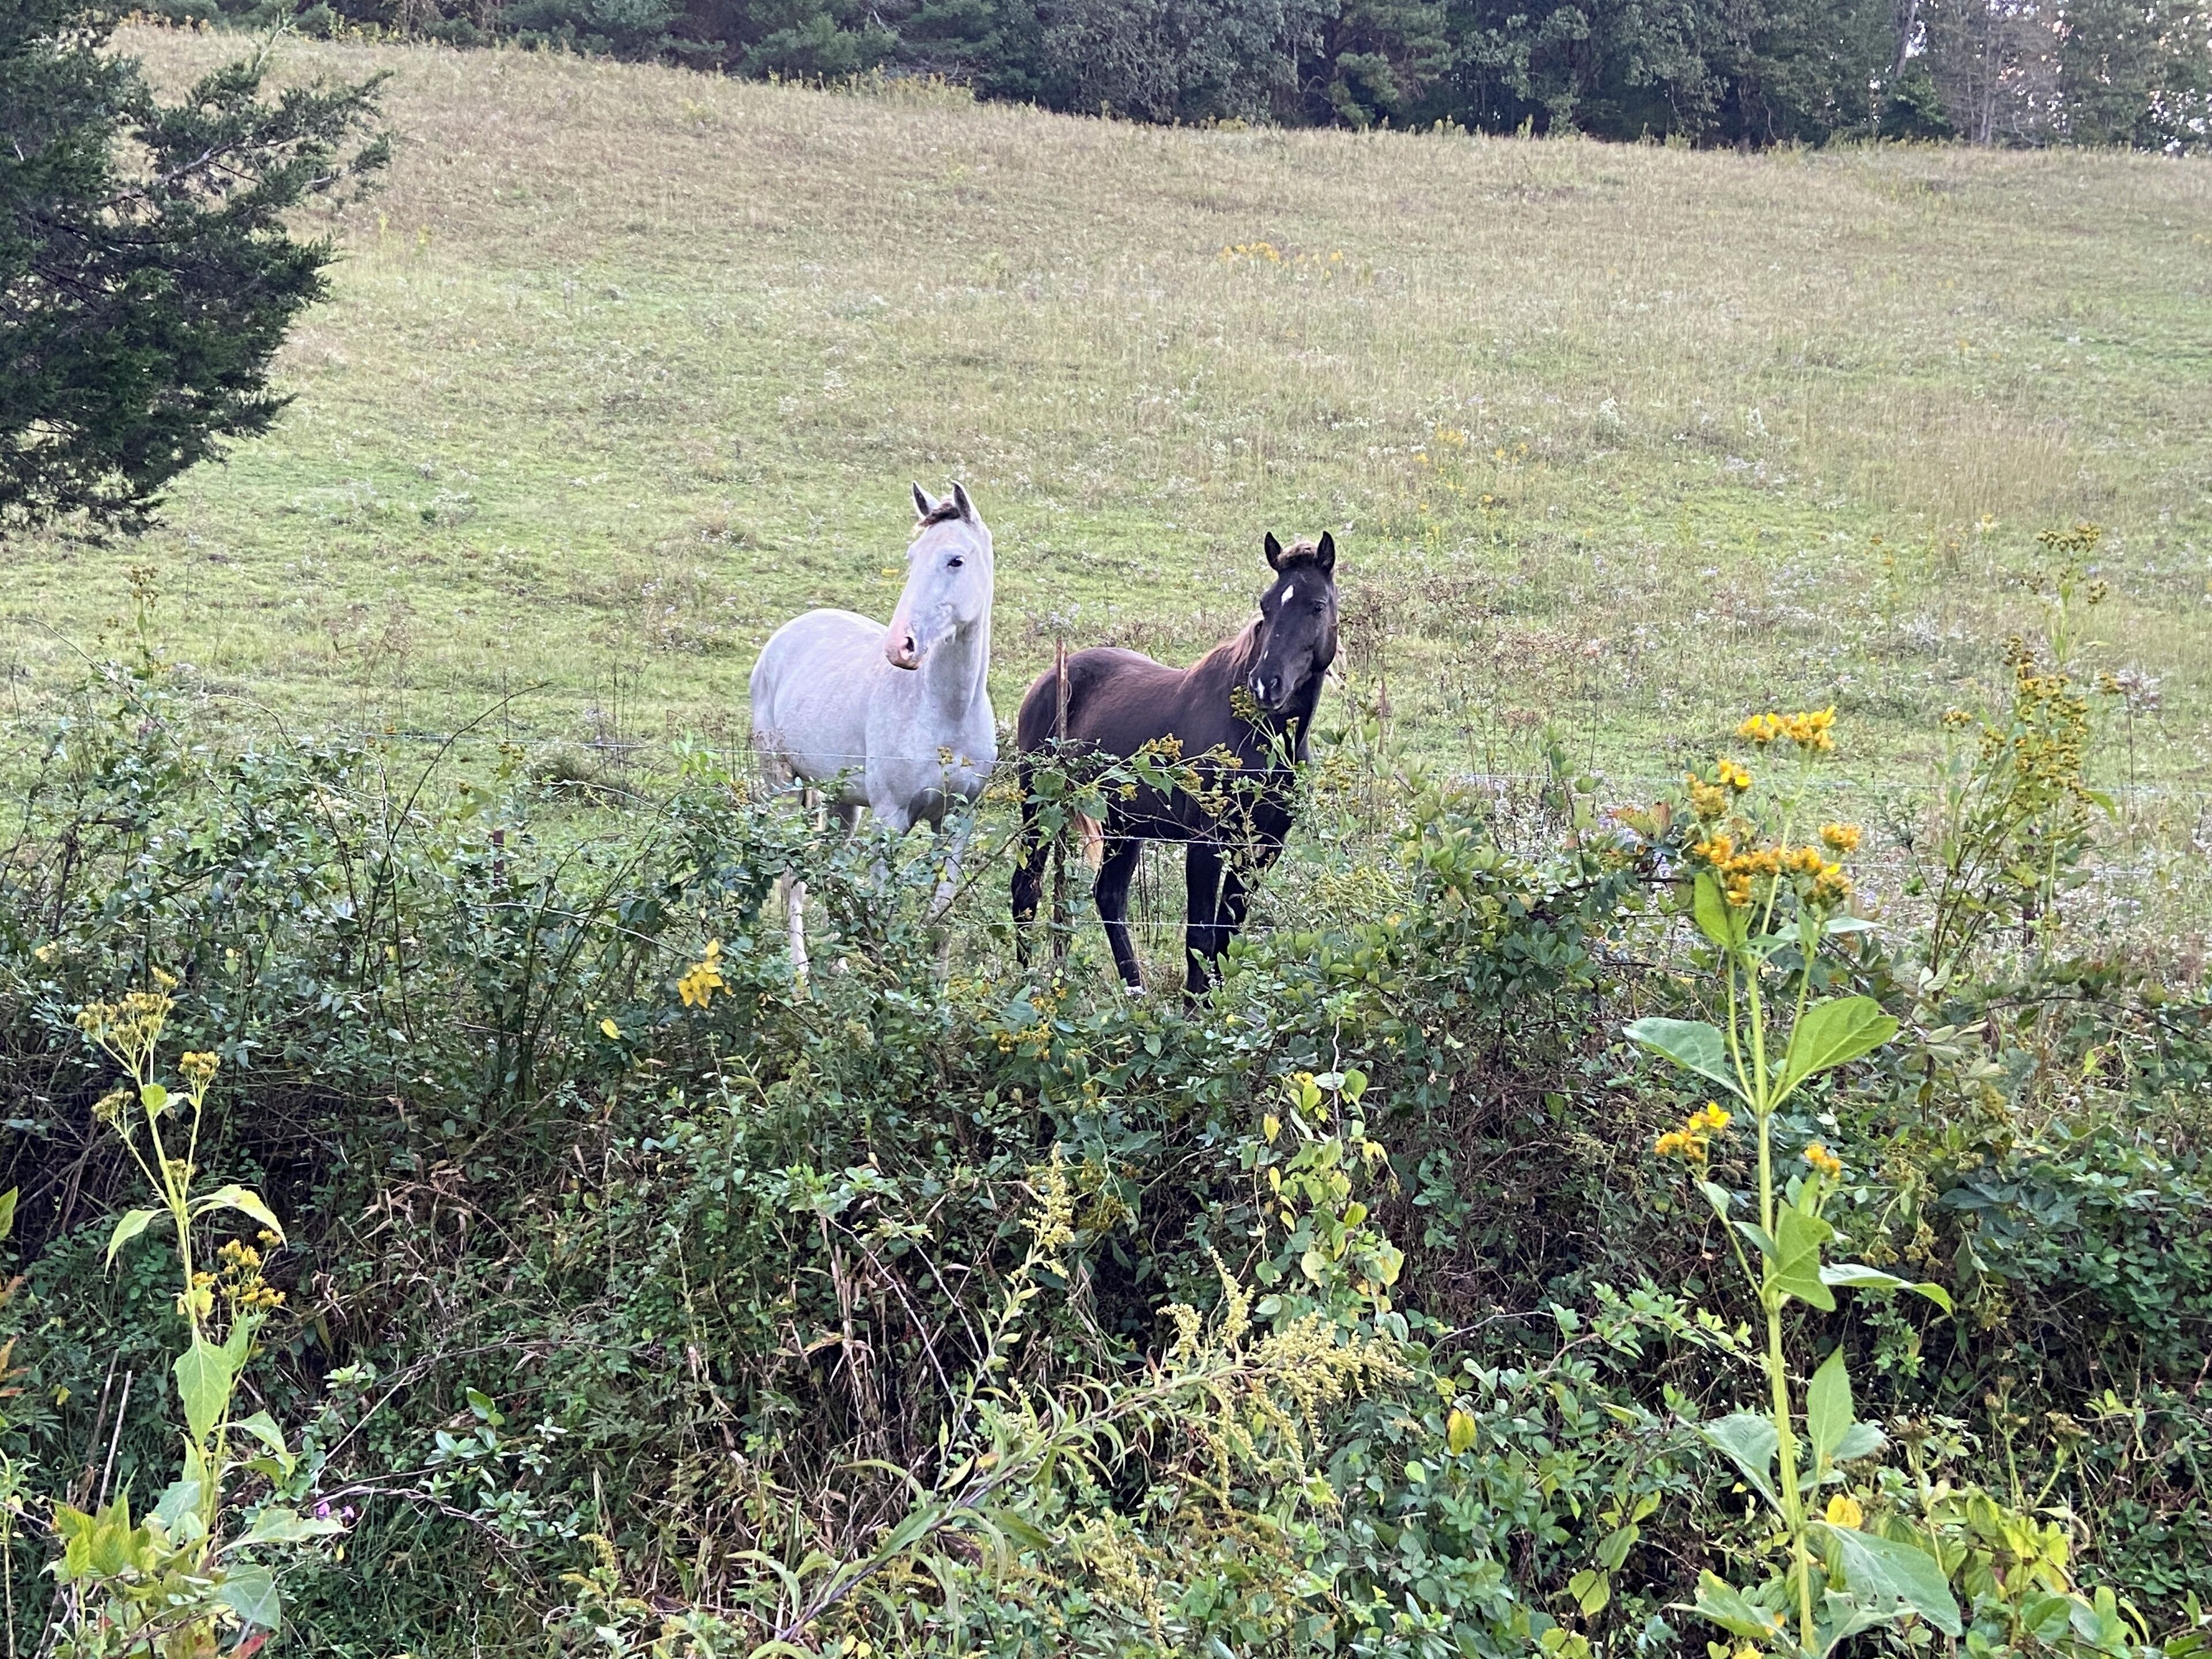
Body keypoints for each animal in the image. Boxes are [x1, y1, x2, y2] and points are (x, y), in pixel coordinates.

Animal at [749, 482, 996, 980]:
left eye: (955, 560)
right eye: (912, 556)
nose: (901, 646)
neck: (946, 715)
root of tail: (784, 636)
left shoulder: (958, 820)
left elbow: (940, 919)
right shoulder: (891, 819)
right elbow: (883, 908)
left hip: (841, 803)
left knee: (827, 871)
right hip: (782, 787)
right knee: (792, 878)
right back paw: (801, 977)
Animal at [1011, 531, 1338, 996]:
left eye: (1317, 605)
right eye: (1266, 605)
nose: (1265, 684)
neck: (1261, 739)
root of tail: (1051, 677)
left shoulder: (1263, 848)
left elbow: (1226, 934)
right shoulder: (1206, 843)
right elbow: (1199, 935)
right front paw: (1193, 1007)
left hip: (1123, 826)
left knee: (1108, 895)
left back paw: (1135, 990)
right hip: (1040, 809)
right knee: (1027, 889)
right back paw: (1026, 983)